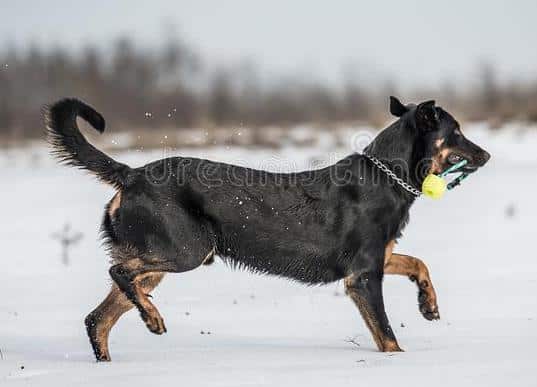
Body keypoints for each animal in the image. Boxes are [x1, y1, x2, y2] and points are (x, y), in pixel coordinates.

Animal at [47, 96, 490, 360]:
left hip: (161, 259)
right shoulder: (363, 278)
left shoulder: (378, 259)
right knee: (119, 273)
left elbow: (418, 262)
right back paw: (152, 318)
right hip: (185, 251)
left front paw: (428, 304)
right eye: (456, 132)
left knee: (98, 318)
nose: (486, 155)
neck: (388, 176)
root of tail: (131, 174)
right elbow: (387, 336)